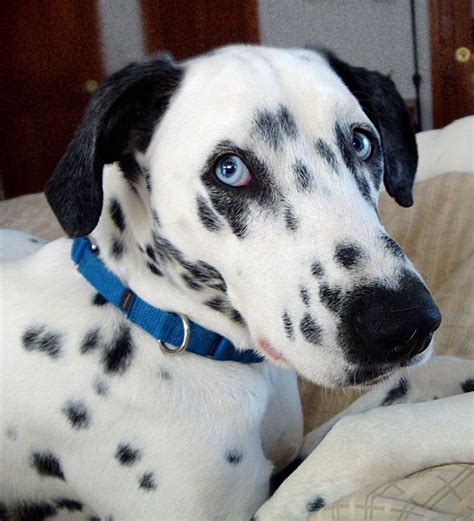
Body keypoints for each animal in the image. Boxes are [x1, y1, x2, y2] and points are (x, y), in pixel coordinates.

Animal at [0, 45, 474, 520]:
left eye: (361, 143)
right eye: (229, 169)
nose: (405, 323)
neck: (164, 322)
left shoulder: (291, 452)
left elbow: (401, 386)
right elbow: (358, 437)